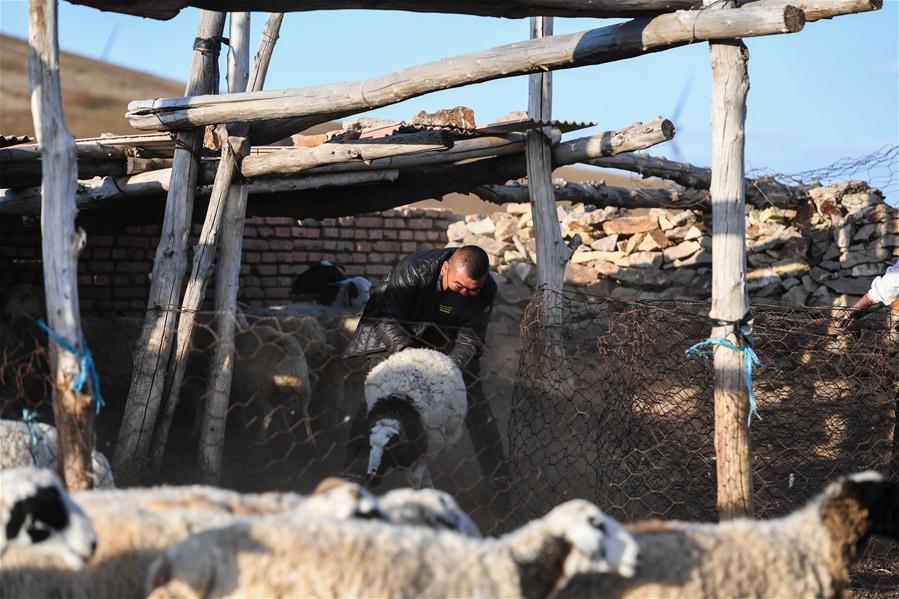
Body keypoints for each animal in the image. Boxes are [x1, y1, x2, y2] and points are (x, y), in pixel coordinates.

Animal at [348, 346, 468, 488]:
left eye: (390, 449)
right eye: (370, 446)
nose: (371, 479)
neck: (394, 409)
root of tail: (427, 350)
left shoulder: (427, 448)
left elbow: (416, 479)